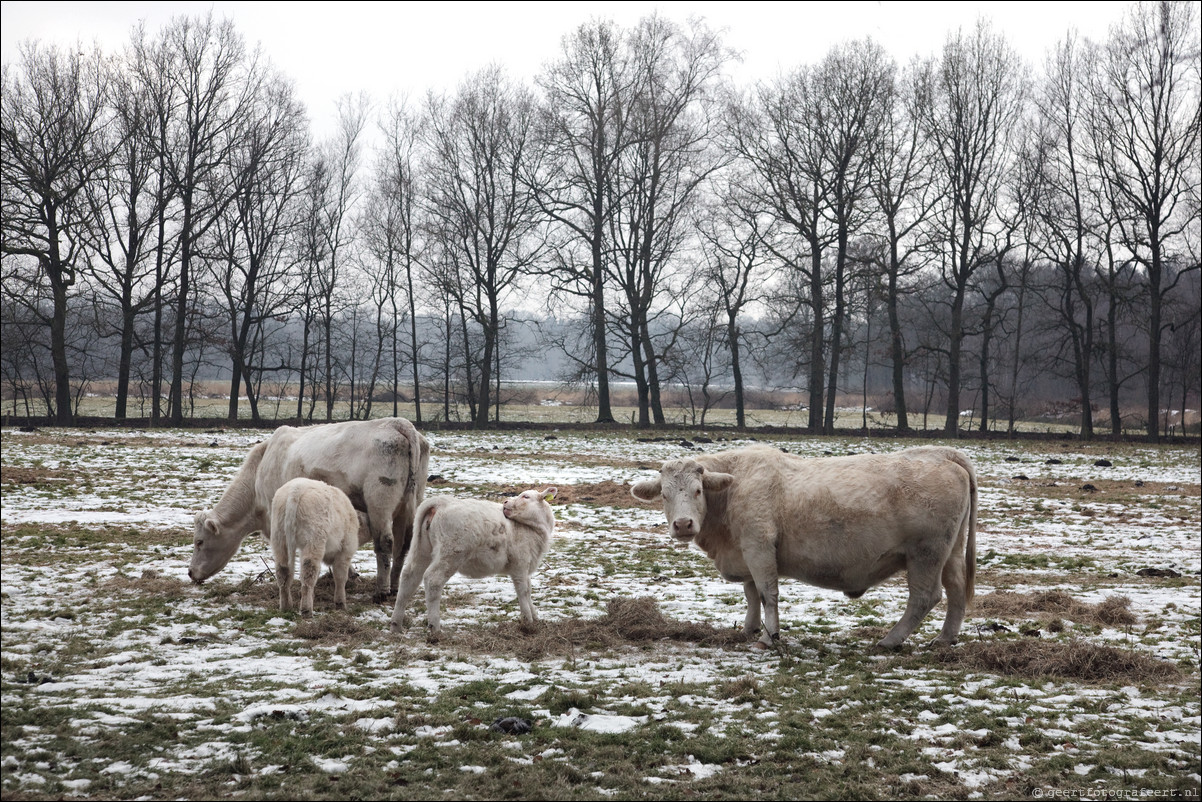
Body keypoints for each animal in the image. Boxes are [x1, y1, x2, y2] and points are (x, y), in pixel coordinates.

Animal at [189, 418, 430, 598]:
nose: (191, 573)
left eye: (199, 542)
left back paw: (381, 591)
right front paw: (348, 574)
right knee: (403, 545)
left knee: (385, 543)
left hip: (380, 502)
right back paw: (395, 587)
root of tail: (399, 423)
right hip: (410, 504)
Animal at [270, 480, 367, 620]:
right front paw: (340, 603)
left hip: (279, 538)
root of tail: (296, 489)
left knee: (282, 572)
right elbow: (340, 577)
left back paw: (286, 607)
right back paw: (306, 609)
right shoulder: (346, 549)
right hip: (314, 540)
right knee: (308, 573)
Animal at [391, 485, 560, 634]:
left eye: (526, 496)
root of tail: (442, 502)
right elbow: (523, 591)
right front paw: (528, 622)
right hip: (451, 553)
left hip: (422, 549)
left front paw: (535, 618)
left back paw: (396, 625)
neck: (533, 529)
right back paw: (435, 628)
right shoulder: (520, 564)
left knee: (409, 577)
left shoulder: (526, 566)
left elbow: (529, 590)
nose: (505, 502)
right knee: (433, 580)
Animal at [629, 449, 976, 649]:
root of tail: (942, 455)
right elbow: (751, 593)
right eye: (664, 494)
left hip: (926, 553)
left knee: (925, 597)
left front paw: (769, 637)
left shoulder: (759, 547)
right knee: (957, 589)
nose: (683, 524)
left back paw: (889, 641)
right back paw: (945, 638)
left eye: (698, 491)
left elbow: (767, 593)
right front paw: (750, 628)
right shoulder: (744, 553)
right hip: (950, 552)